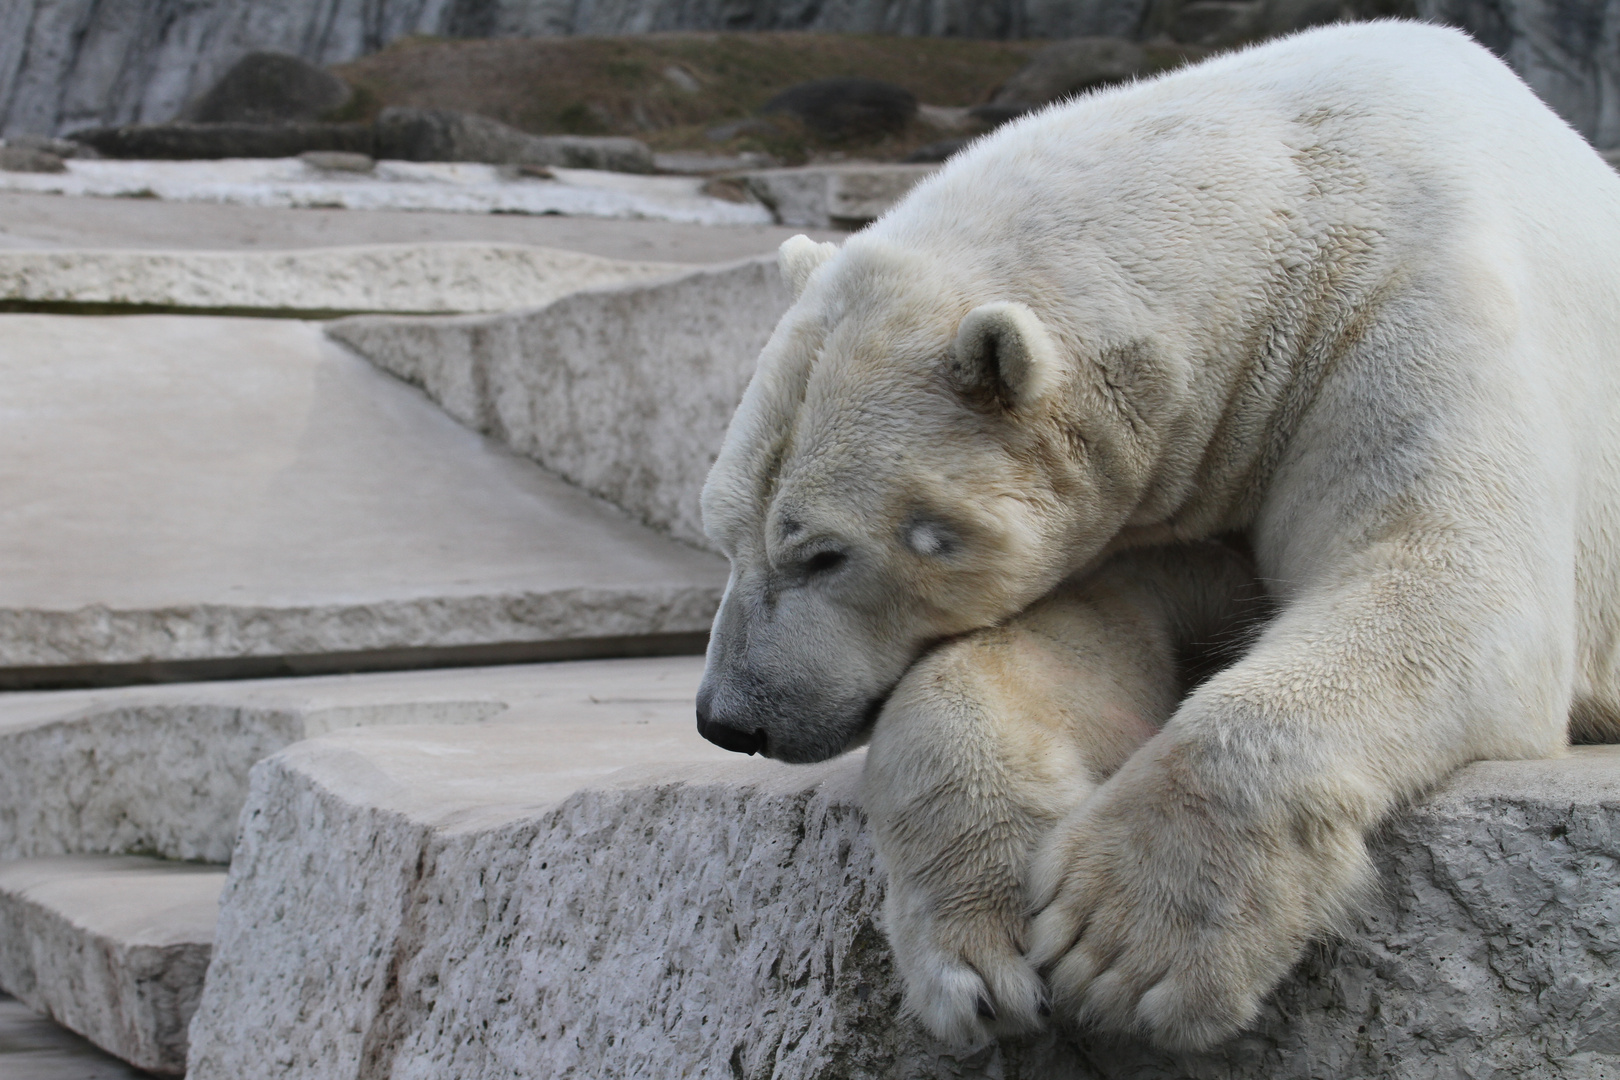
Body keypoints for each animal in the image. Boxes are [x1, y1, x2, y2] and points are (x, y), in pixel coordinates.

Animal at [690, 21, 1620, 1055]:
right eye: (721, 531)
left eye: (823, 553)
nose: (730, 718)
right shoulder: (1167, 485)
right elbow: (1091, 632)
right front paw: (983, 957)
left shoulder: (1411, 302)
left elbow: (1447, 574)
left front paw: (1128, 947)